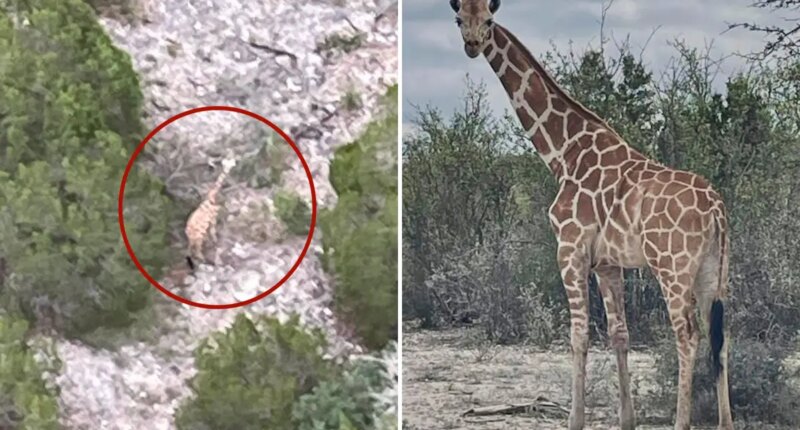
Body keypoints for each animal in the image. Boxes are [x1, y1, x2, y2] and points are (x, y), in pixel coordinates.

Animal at [448, 1, 733, 429]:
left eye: (489, 20)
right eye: (459, 18)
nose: (471, 44)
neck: (563, 153)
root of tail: (716, 208)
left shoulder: (570, 249)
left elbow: (579, 335)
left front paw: (575, 419)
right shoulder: (608, 263)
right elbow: (619, 334)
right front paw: (627, 419)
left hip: (672, 267)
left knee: (688, 335)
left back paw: (681, 421)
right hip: (714, 271)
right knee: (721, 338)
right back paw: (726, 422)